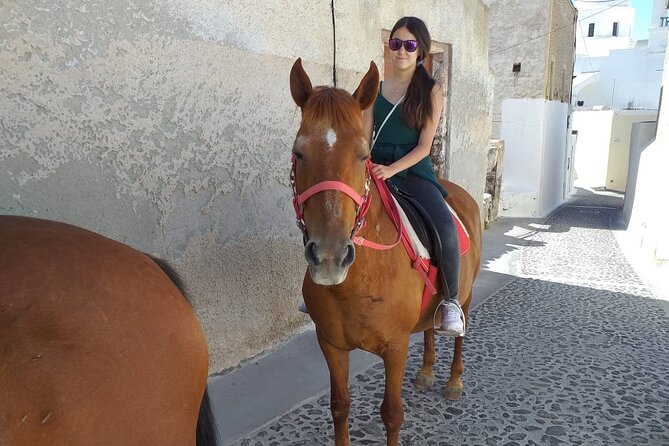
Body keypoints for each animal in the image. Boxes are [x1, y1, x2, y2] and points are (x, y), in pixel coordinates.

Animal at [289, 58, 482, 446]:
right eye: (299, 153)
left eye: (364, 155)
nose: (330, 257)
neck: (356, 283)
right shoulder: (331, 345)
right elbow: (339, 408)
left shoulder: (394, 348)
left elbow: (392, 414)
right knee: (428, 329)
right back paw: (426, 372)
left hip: (465, 297)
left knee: (458, 336)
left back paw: (454, 380)